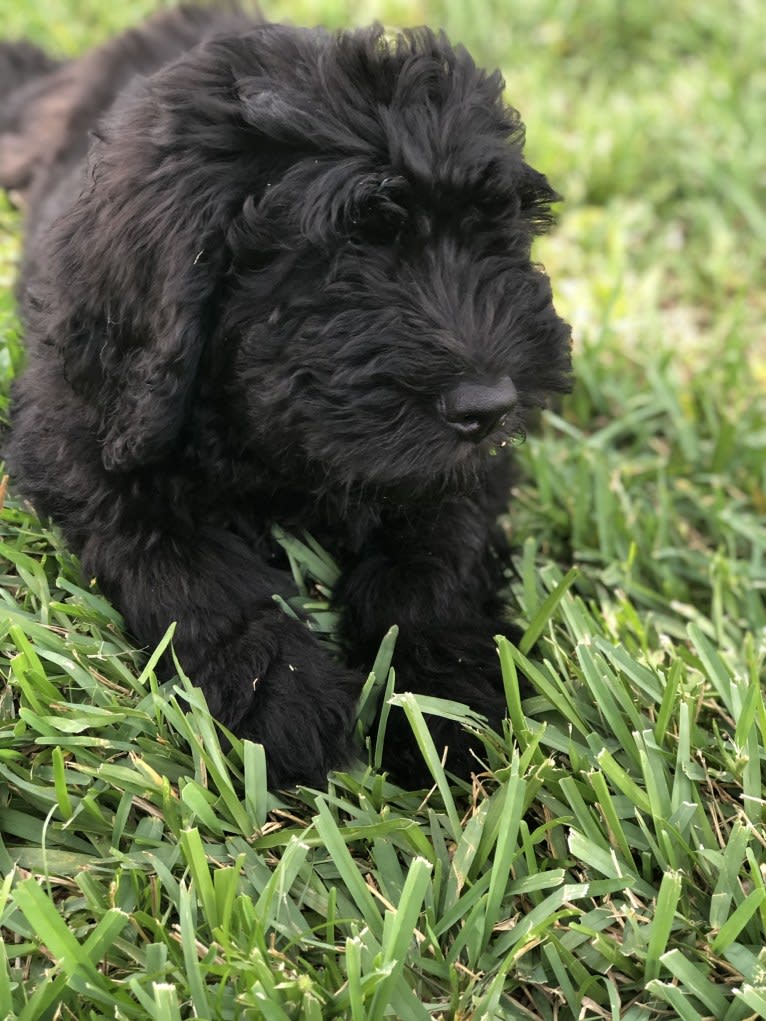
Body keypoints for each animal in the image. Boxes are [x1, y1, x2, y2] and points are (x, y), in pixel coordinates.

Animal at [0, 5, 571, 780]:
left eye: (497, 235)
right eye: (346, 256)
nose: (491, 403)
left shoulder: (466, 467)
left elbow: (437, 551)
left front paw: (438, 690)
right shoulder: (81, 434)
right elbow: (183, 558)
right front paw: (279, 686)